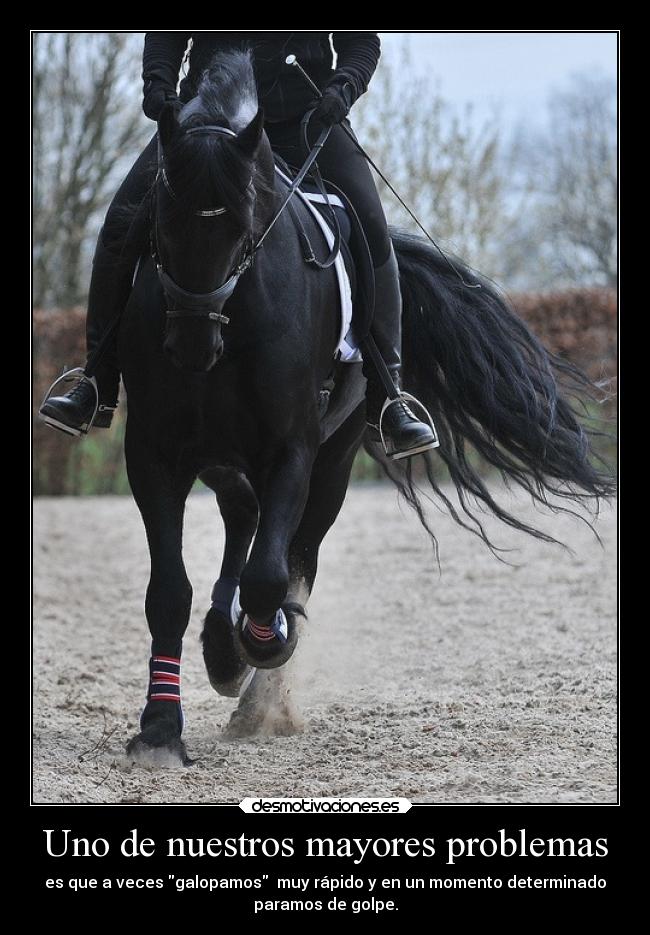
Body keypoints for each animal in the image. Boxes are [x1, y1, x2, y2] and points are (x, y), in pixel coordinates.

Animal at [119, 51, 612, 764]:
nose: (189, 342)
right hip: (224, 459)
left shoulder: (294, 451)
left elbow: (272, 576)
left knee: (289, 552)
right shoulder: (154, 454)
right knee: (243, 516)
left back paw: (253, 683)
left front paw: (266, 642)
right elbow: (167, 592)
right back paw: (223, 650)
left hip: (333, 457)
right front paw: (160, 729)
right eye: (158, 219)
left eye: (243, 221)